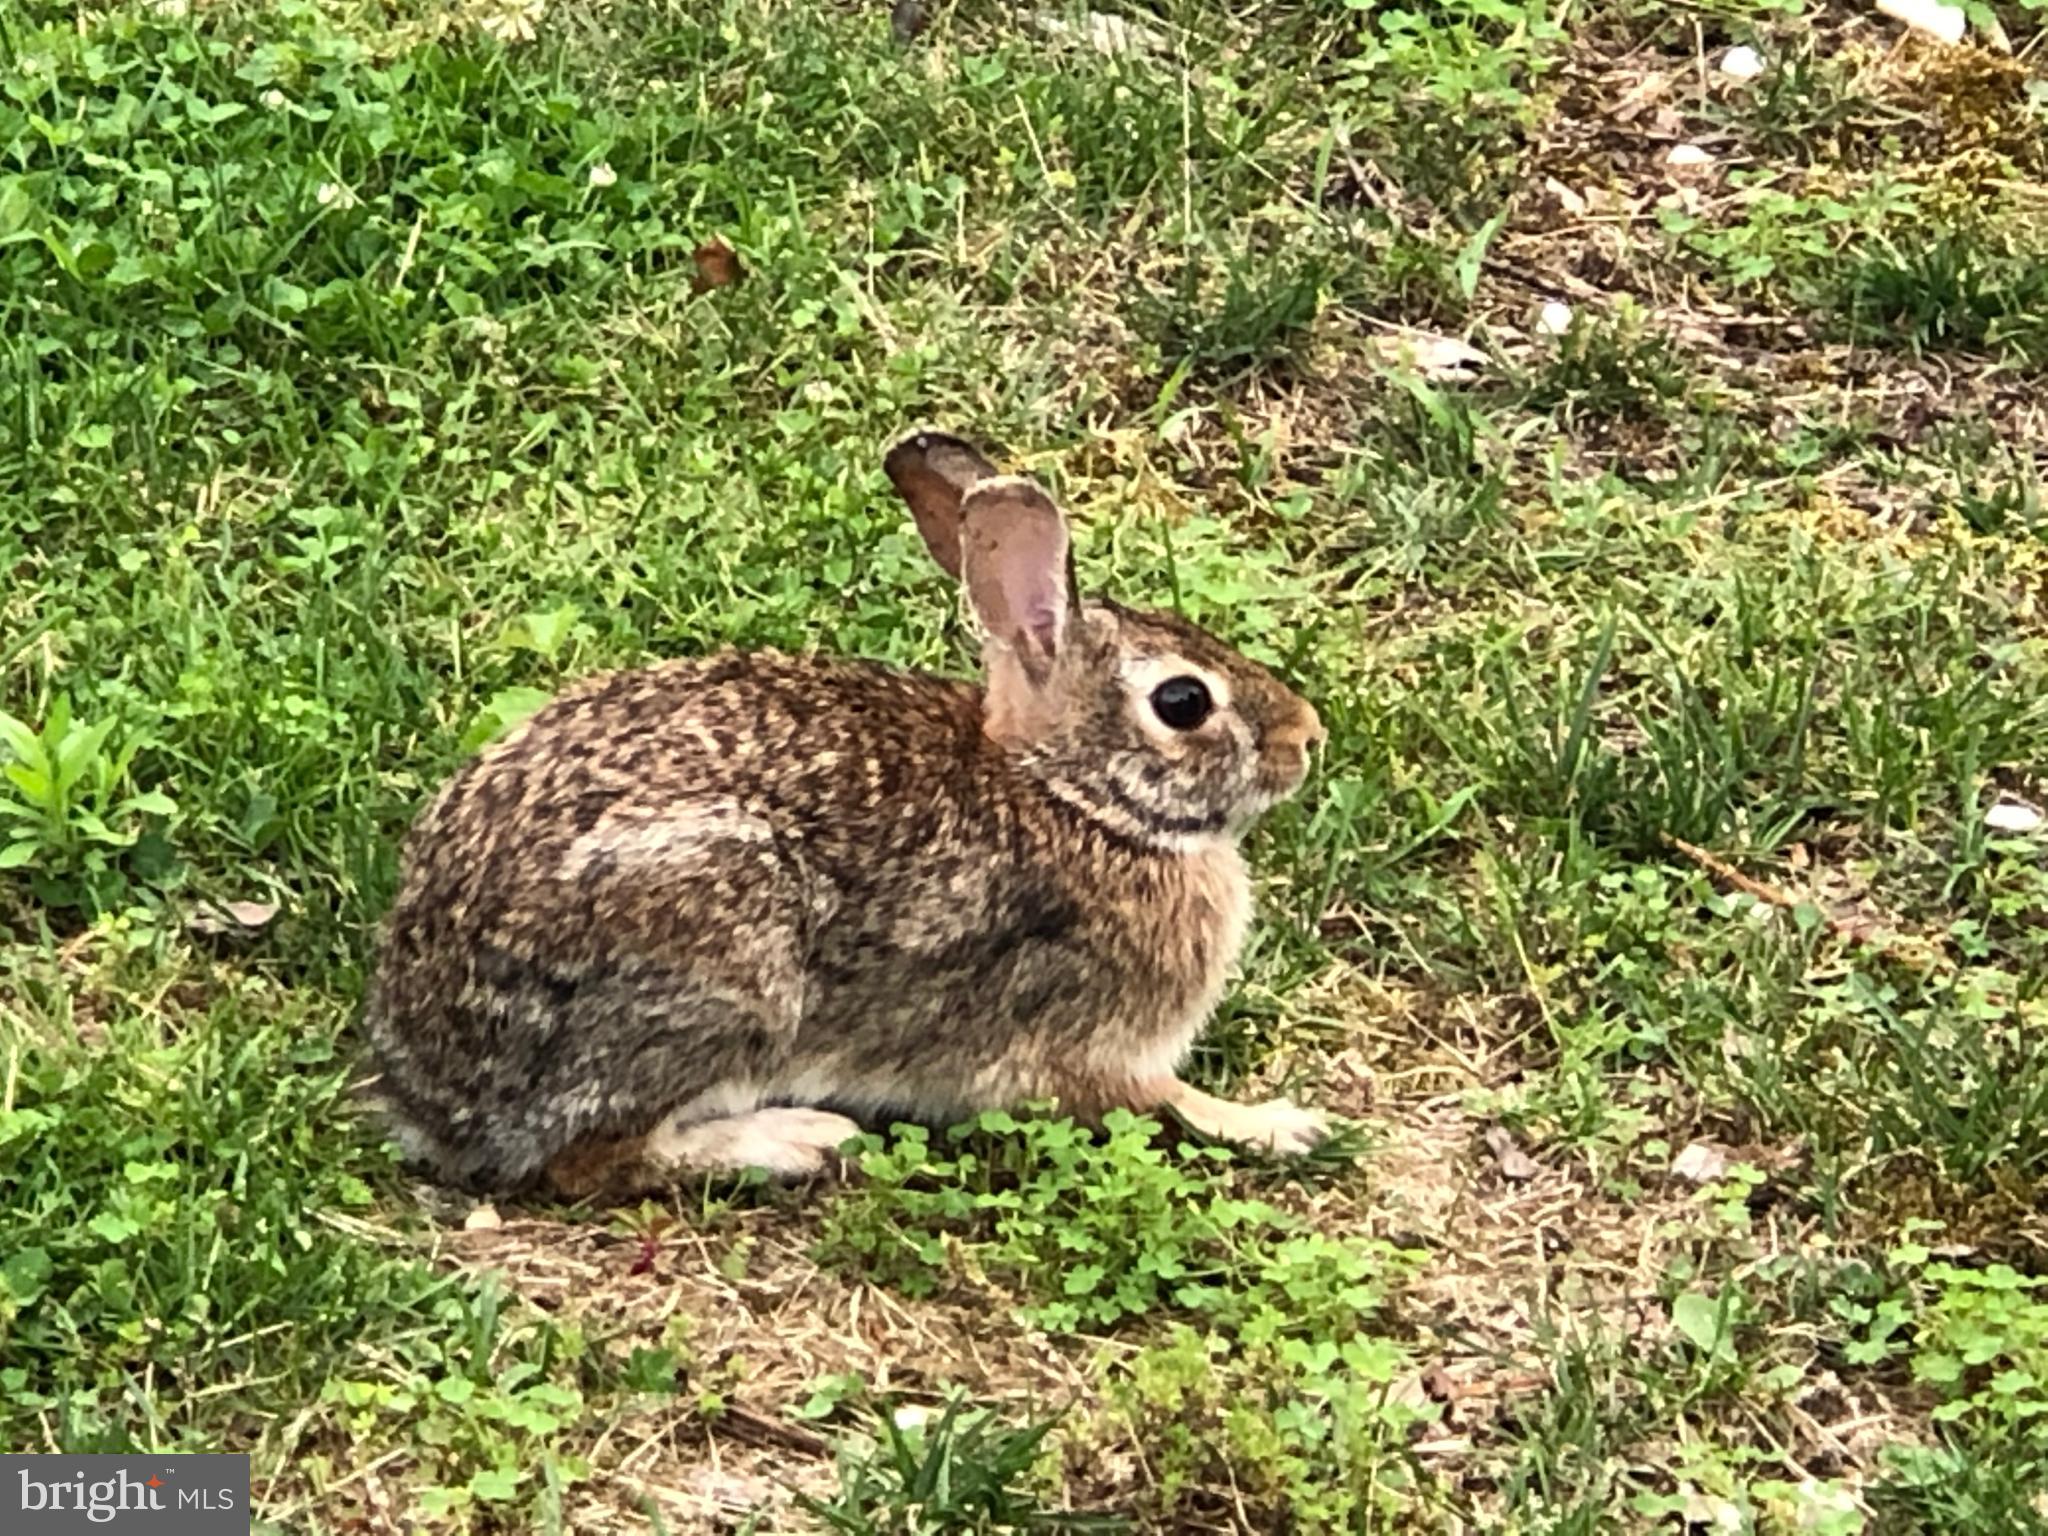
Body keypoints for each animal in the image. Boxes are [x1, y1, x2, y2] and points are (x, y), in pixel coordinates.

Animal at [364, 430, 1330, 1200]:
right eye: (1183, 702)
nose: (1307, 737)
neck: (1074, 797)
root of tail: (435, 1093)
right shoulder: (1084, 1045)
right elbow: (1167, 1104)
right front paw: (1279, 1123)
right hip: (724, 968)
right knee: (592, 1160)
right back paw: (795, 1141)